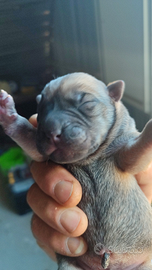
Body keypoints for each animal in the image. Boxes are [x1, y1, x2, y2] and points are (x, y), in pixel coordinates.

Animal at [0, 73, 152, 268]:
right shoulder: (40, 150)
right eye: (40, 108)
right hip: (69, 264)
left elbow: (136, 154)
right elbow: (27, 136)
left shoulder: (125, 148)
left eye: (86, 103)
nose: (51, 131)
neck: (87, 159)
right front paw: (7, 113)